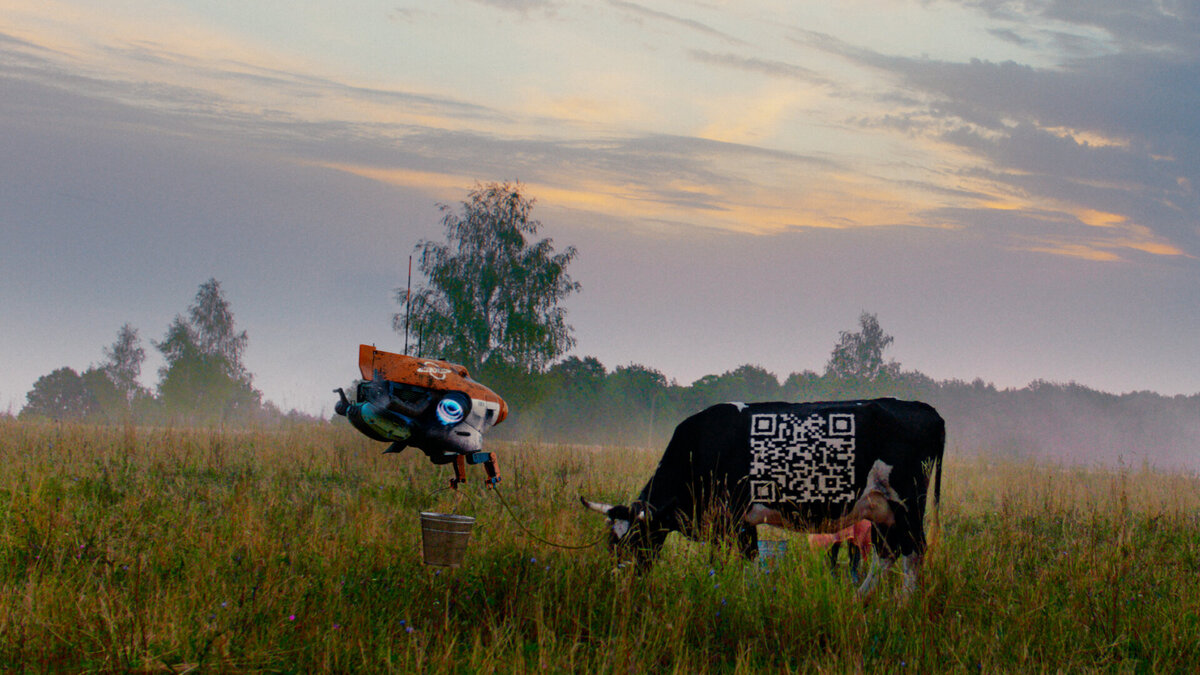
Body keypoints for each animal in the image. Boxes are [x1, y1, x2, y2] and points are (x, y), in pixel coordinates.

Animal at [581, 398, 944, 595]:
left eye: (635, 542)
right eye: (611, 545)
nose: (618, 583)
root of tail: (922, 408)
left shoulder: (726, 519)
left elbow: (723, 565)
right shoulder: (743, 523)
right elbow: (751, 562)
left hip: (908, 505)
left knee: (913, 553)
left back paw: (901, 607)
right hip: (881, 509)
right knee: (887, 555)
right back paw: (859, 602)